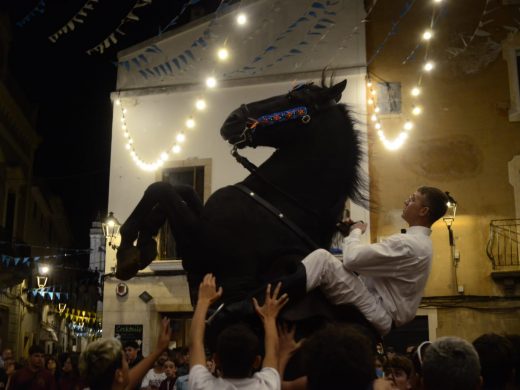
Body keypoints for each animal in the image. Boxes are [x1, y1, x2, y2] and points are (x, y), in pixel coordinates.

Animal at [115, 78, 374, 342]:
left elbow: (159, 189)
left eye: (293, 98)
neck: (282, 203)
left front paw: (127, 251)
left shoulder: (199, 243)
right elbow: (181, 190)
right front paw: (142, 246)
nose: (232, 118)